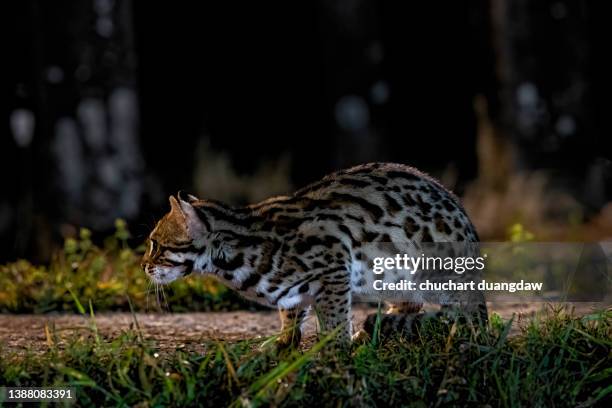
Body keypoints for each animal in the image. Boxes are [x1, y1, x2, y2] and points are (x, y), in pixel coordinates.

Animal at [142, 163, 488, 348]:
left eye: (155, 244)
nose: (143, 266)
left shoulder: (334, 265)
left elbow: (335, 318)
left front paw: (335, 351)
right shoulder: (292, 291)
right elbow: (290, 315)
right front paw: (284, 344)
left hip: (431, 271)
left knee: (470, 316)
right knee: (415, 305)